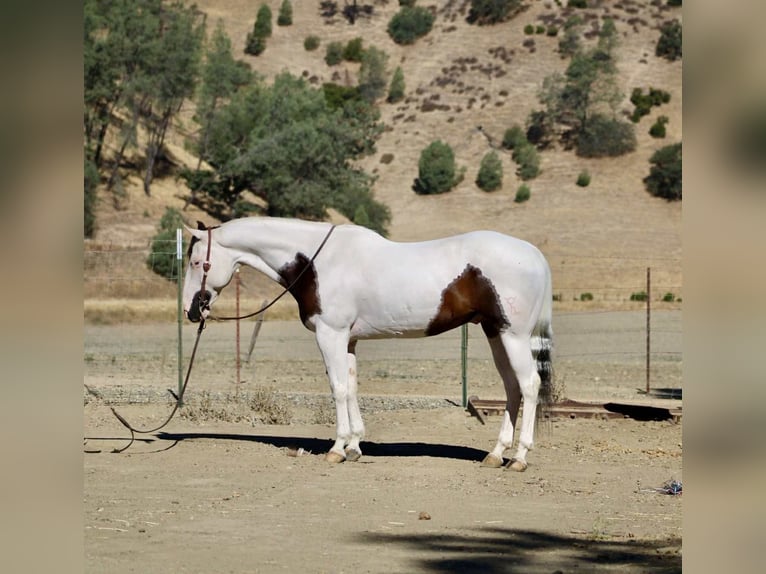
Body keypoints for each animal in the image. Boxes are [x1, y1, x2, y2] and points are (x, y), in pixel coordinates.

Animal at [183, 216, 553, 471]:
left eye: (198, 262)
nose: (191, 310)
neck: (317, 262)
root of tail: (535, 255)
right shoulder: (348, 340)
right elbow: (351, 387)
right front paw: (354, 446)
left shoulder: (330, 334)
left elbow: (338, 388)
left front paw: (336, 449)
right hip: (496, 333)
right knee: (512, 388)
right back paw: (496, 454)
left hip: (514, 336)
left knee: (529, 385)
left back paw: (519, 457)